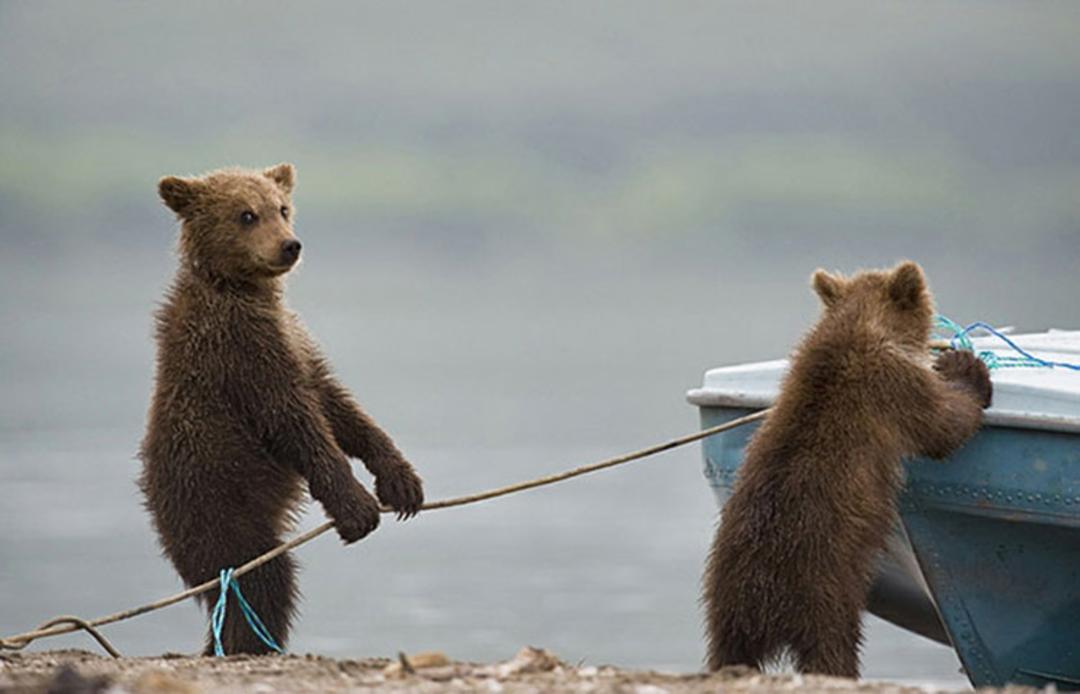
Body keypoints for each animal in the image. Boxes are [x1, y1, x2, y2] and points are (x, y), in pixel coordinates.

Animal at [139, 163, 425, 655]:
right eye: (246, 214)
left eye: (282, 207)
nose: (290, 245)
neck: (241, 287)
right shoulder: (240, 349)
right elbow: (296, 420)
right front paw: (357, 507)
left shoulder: (294, 339)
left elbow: (338, 405)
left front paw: (400, 480)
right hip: (216, 506)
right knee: (260, 580)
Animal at [701, 261, 992, 678]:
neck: (859, 328)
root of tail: (761, 597)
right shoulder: (893, 386)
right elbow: (943, 425)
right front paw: (968, 370)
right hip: (825, 587)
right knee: (833, 646)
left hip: (726, 601)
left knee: (728, 649)